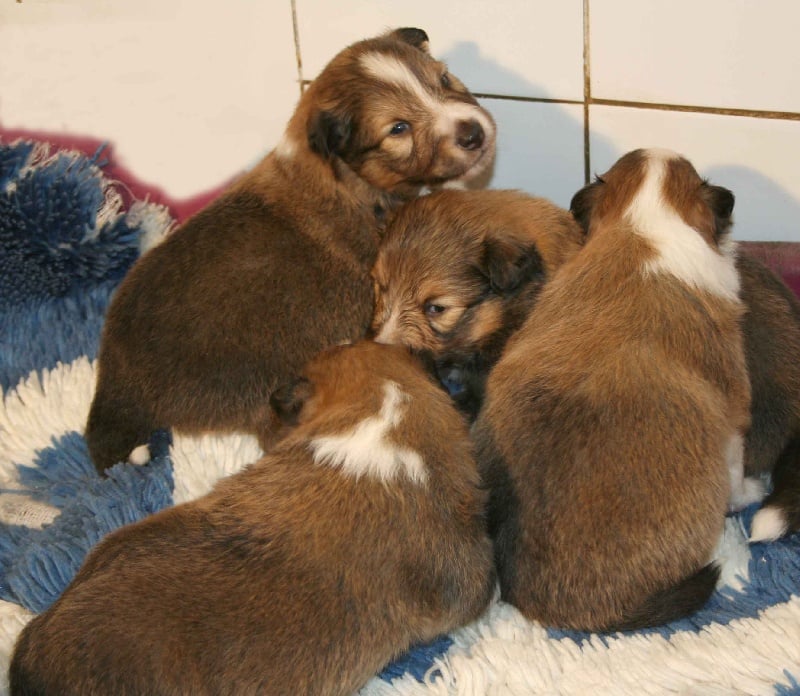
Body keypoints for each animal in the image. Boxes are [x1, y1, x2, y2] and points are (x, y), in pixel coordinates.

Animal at [83, 25, 494, 474]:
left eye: (444, 78)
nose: (474, 133)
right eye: (398, 128)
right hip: (261, 384)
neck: (346, 177)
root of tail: (116, 382)